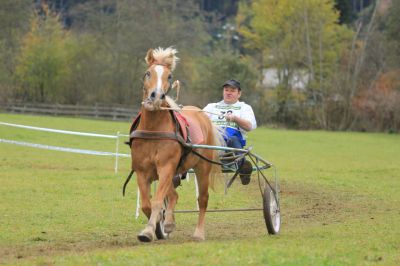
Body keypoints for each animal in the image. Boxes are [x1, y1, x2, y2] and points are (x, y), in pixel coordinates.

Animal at [129, 46, 222, 242]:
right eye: (148, 73)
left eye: (169, 76)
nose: (156, 96)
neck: (153, 131)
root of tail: (201, 114)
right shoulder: (142, 171)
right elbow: (147, 204)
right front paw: (158, 225)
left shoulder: (166, 167)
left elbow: (157, 201)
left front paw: (151, 229)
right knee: (173, 195)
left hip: (202, 168)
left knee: (203, 199)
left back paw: (199, 233)